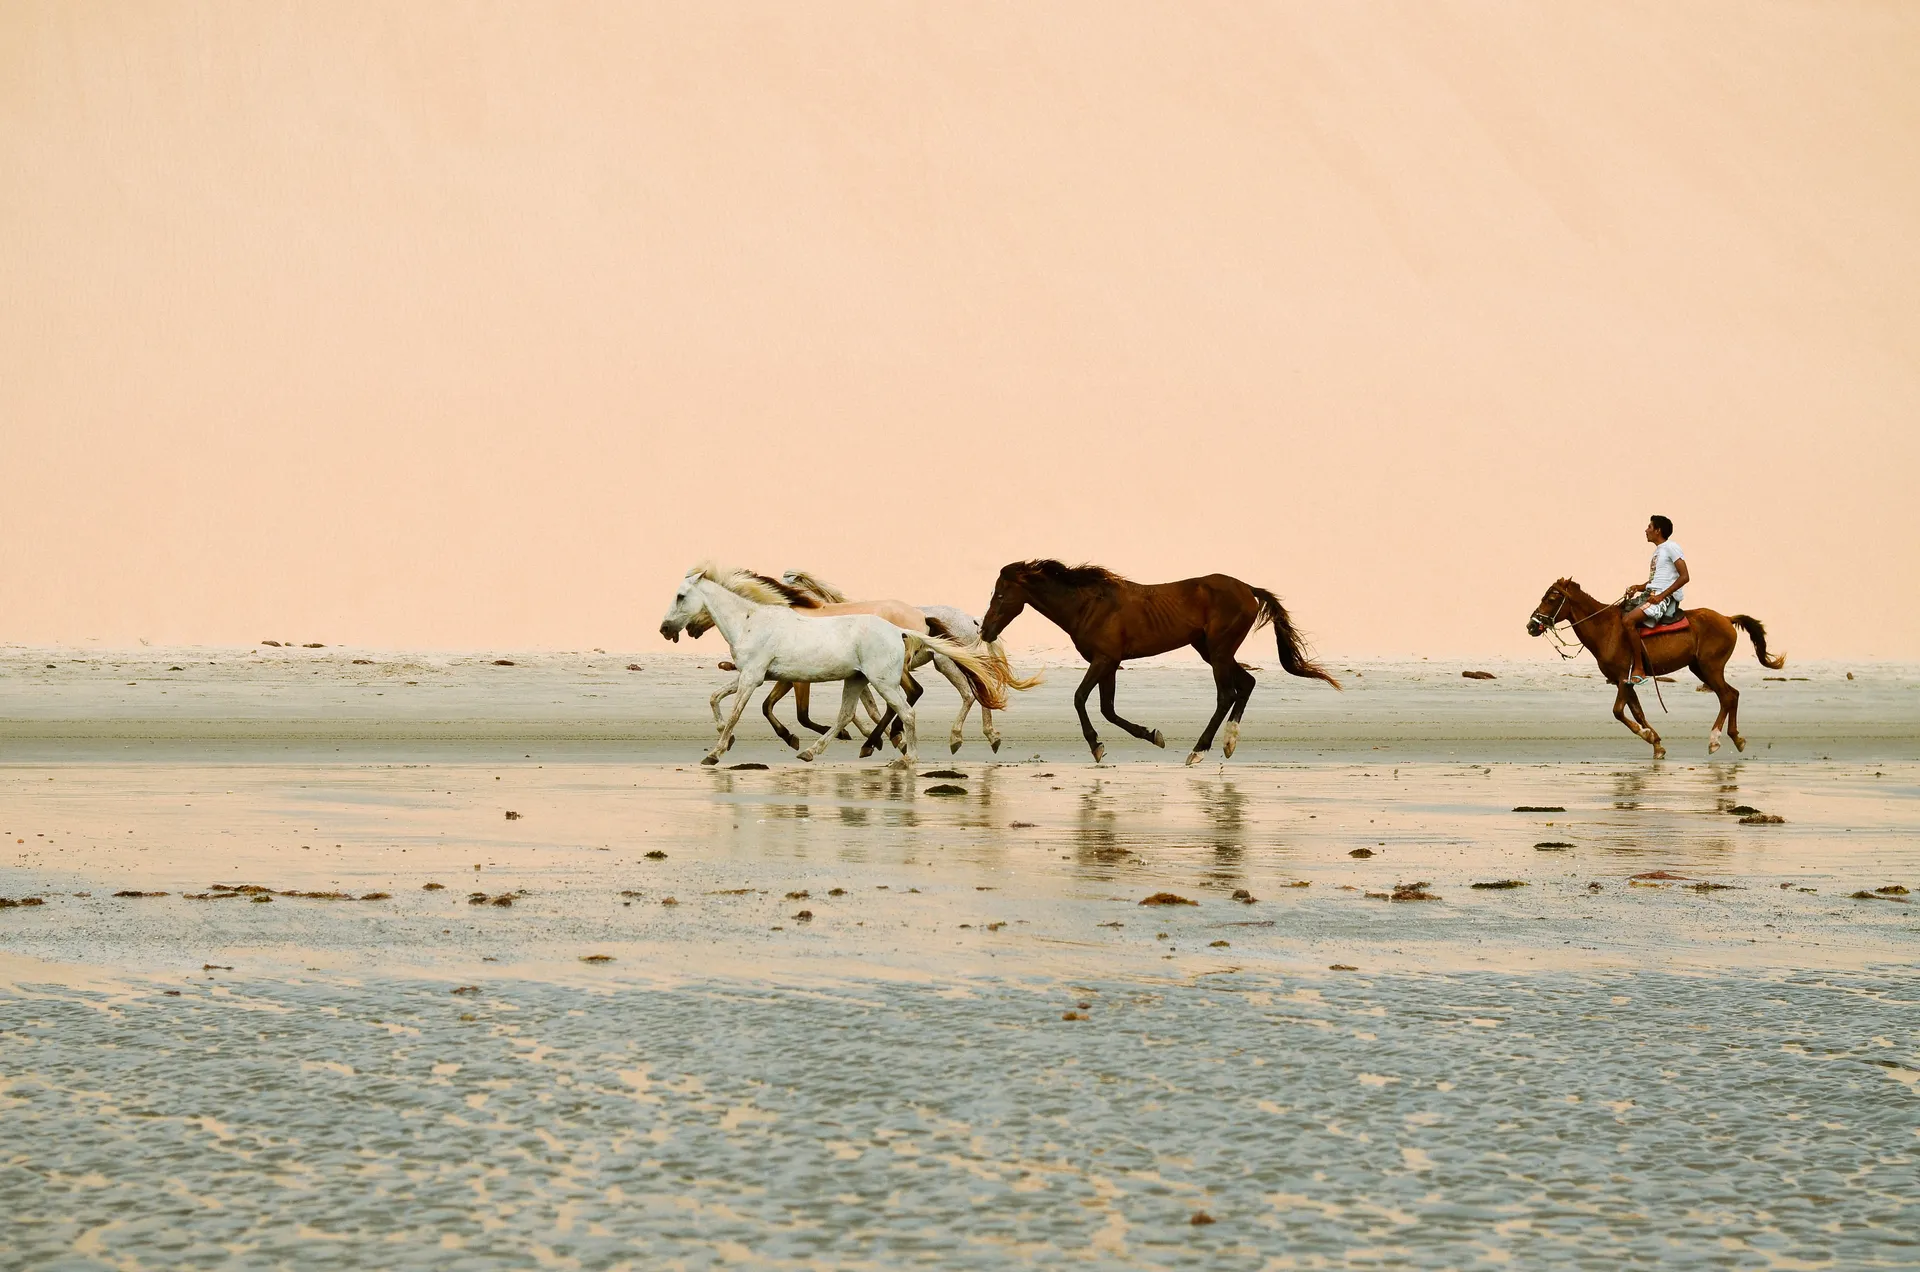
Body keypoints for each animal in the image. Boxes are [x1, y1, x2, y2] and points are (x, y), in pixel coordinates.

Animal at [660, 563, 1014, 768]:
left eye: (680, 596)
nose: (665, 629)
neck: (752, 621)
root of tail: (901, 630)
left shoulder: (755, 677)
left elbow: (739, 712)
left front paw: (715, 752)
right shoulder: (755, 676)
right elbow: (716, 698)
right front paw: (726, 737)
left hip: (886, 680)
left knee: (910, 709)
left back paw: (908, 757)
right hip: (857, 680)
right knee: (848, 714)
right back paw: (819, 751)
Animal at [979, 560, 1340, 765]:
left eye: (1000, 594)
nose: (985, 629)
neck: (1088, 605)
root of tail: (1248, 589)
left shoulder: (1104, 659)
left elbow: (1081, 699)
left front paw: (1097, 746)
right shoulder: (1109, 663)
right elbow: (1108, 709)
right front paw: (1152, 735)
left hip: (1219, 652)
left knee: (1227, 694)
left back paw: (1199, 751)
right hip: (1210, 650)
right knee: (1246, 684)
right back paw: (1228, 743)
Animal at [1525, 578, 1783, 759]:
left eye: (1551, 599)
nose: (1531, 625)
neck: (1606, 629)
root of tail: (1727, 619)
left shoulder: (1623, 678)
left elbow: (1618, 712)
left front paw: (1648, 735)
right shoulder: (1625, 682)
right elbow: (1637, 712)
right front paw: (1656, 742)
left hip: (1711, 667)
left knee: (1727, 697)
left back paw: (1715, 740)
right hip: (1700, 668)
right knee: (1732, 695)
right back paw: (1736, 738)